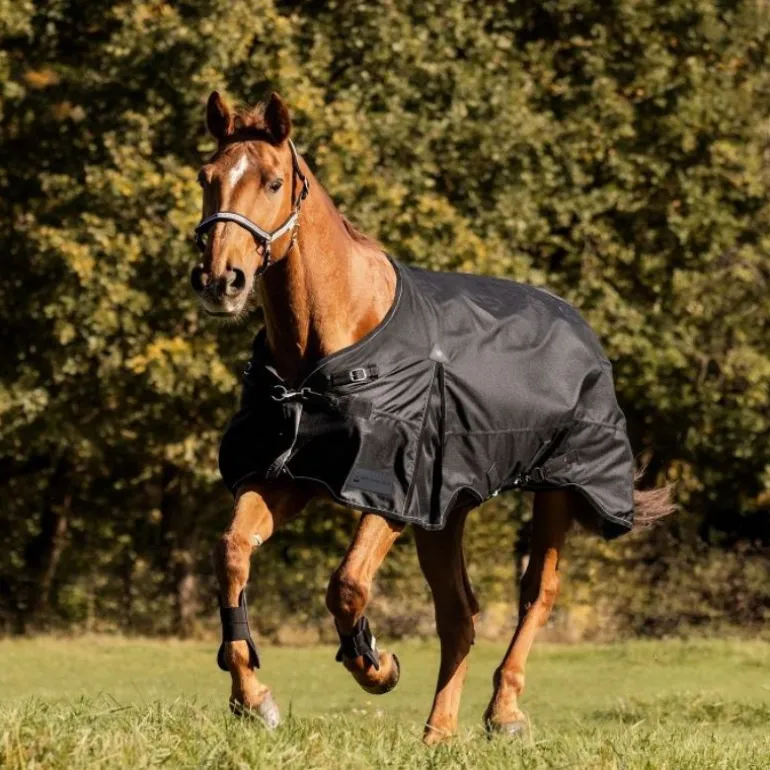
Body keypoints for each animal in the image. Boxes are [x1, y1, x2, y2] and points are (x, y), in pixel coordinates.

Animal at [190, 90, 674, 744]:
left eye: (271, 182)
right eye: (207, 177)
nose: (221, 280)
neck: (326, 350)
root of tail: (578, 324)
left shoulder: (394, 491)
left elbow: (347, 585)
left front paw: (377, 665)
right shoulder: (290, 476)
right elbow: (233, 552)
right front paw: (253, 699)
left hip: (556, 490)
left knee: (535, 594)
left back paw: (504, 713)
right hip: (447, 512)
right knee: (459, 615)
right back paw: (438, 732)